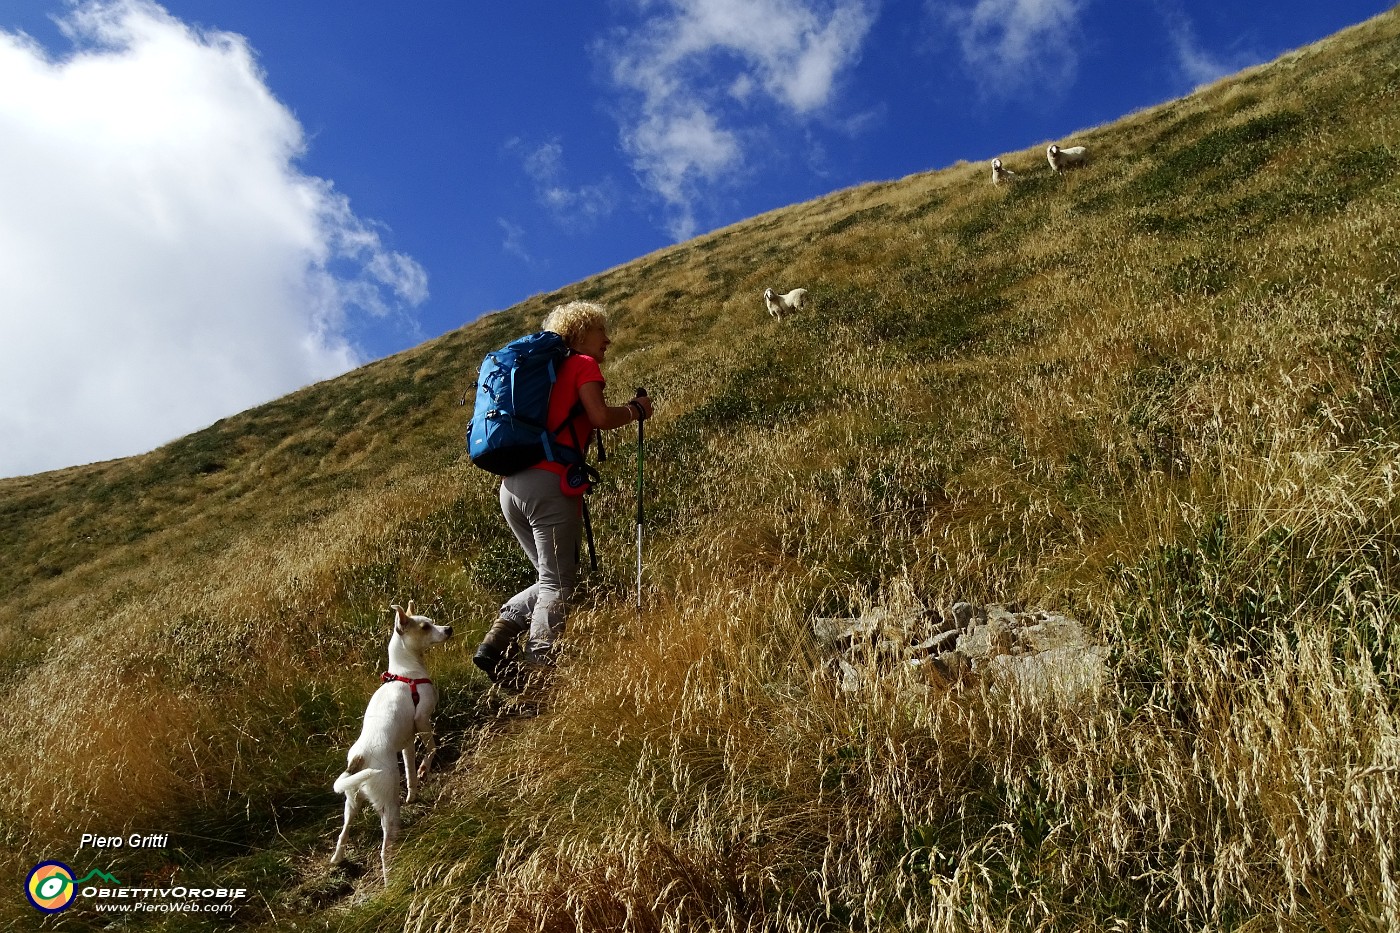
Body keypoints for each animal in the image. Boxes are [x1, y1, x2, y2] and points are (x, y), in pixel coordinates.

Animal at [331, 602, 453, 879]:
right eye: (425, 627)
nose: (449, 629)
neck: (405, 673)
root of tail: (360, 757)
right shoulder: (422, 720)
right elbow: (432, 748)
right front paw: (425, 767)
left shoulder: (407, 742)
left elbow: (410, 772)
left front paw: (414, 793)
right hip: (386, 800)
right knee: (384, 849)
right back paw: (390, 875)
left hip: (351, 802)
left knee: (343, 835)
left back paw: (338, 858)